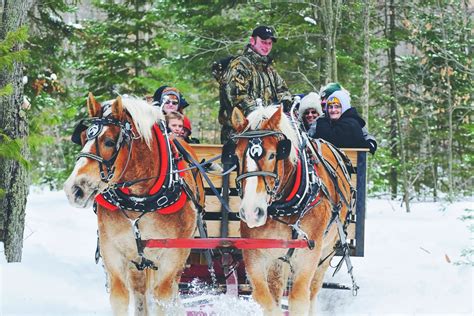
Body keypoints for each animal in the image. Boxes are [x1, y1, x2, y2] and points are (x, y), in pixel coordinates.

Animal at [63, 94, 204, 316]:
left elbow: (163, 299)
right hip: (137, 261)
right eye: (84, 137)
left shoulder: (171, 256)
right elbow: (121, 296)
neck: (139, 202)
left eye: (109, 141)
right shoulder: (113, 251)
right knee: (140, 291)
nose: (74, 189)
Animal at [228, 105, 354, 314]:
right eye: (236, 156)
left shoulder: (309, 253)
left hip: (328, 250)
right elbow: (264, 298)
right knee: (278, 288)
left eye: (273, 155)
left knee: (313, 291)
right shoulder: (255, 253)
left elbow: (299, 298)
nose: (252, 212)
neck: (283, 206)